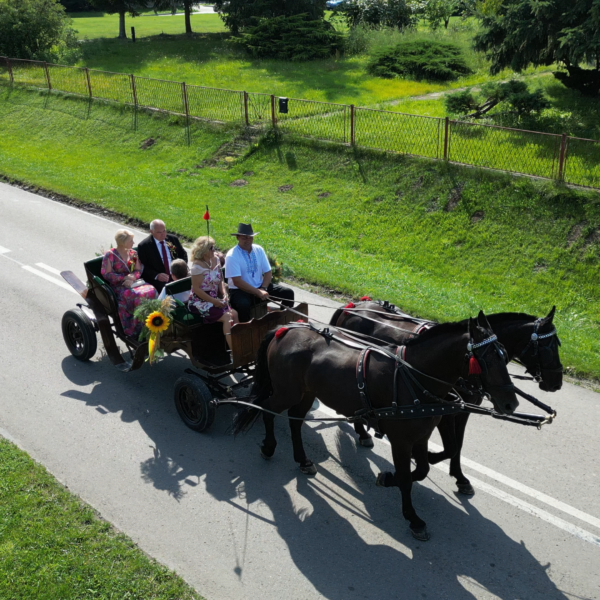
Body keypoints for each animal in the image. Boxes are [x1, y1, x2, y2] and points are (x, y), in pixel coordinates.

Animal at [232, 312, 516, 540]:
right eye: (486, 360)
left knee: (295, 421)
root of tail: (286, 329)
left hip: (306, 393)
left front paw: (388, 478)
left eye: (504, 355)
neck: (412, 378)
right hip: (286, 391)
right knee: (267, 410)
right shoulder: (401, 440)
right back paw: (269, 447)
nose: (511, 403)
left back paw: (302, 459)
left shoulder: (421, 435)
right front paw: (412, 517)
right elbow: (407, 478)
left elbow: (422, 469)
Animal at [328, 302, 564, 494]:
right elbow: (451, 446)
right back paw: (362, 431)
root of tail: (352, 306)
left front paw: (459, 477)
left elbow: (458, 444)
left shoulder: (463, 410)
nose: (557, 383)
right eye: (549, 346)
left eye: (504, 354)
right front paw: (430, 457)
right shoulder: (445, 412)